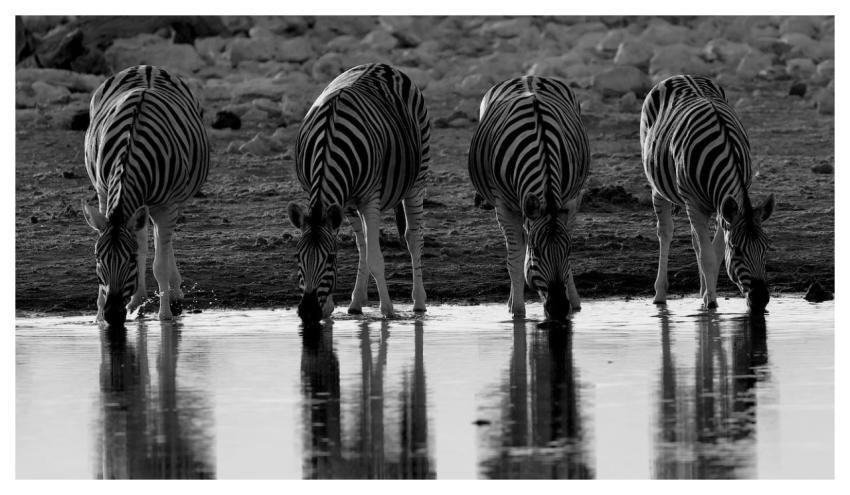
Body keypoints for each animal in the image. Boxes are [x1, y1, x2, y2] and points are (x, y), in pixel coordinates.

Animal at [81, 65, 210, 325]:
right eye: (98, 257)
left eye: (129, 259)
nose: (113, 314)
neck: (130, 149)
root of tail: (145, 67)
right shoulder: (103, 191)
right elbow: (140, 245)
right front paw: (98, 316)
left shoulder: (167, 205)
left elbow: (159, 263)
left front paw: (165, 314)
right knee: (144, 237)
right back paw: (138, 298)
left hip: (172, 200)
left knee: (164, 243)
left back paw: (173, 291)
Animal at [287, 63, 430, 325]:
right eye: (297, 256)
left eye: (331, 258)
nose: (309, 312)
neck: (328, 145)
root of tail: (381, 64)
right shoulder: (338, 200)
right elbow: (361, 247)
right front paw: (330, 306)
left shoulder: (370, 197)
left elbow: (376, 258)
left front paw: (388, 311)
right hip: (352, 202)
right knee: (363, 243)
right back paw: (357, 302)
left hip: (417, 178)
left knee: (413, 238)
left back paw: (419, 302)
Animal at [468, 76, 590, 321]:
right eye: (537, 251)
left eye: (569, 250)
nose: (558, 309)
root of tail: (528, 77)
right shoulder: (504, 207)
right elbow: (515, 260)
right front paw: (517, 312)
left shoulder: (569, 201)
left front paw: (573, 303)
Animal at [640, 74, 774, 311]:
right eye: (737, 250)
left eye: (765, 248)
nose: (760, 300)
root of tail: (681, 75)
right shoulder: (695, 203)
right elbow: (708, 256)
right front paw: (711, 304)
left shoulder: (725, 207)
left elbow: (715, 253)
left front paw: (708, 297)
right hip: (660, 187)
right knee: (666, 232)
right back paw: (660, 294)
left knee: (697, 242)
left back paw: (702, 291)